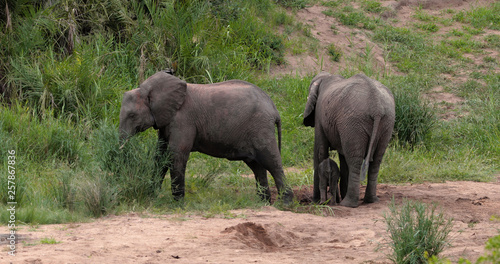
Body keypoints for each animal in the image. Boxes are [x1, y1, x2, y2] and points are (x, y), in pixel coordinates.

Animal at [118, 71, 292, 203]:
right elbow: (160, 155)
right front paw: (152, 195)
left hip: (261, 128)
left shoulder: (183, 119)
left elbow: (176, 154)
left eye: (132, 115)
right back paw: (264, 203)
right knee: (257, 166)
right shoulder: (165, 121)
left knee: (271, 162)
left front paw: (178, 204)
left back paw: (285, 203)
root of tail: (274, 108)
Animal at [302, 72, 396, 208]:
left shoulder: (319, 116)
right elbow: (342, 157)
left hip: (354, 122)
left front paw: (316, 202)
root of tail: (376, 106)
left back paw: (348, 204)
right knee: (376, 161)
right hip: (386, 122)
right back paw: (370, 200)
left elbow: (320, 152)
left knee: (354, 161)